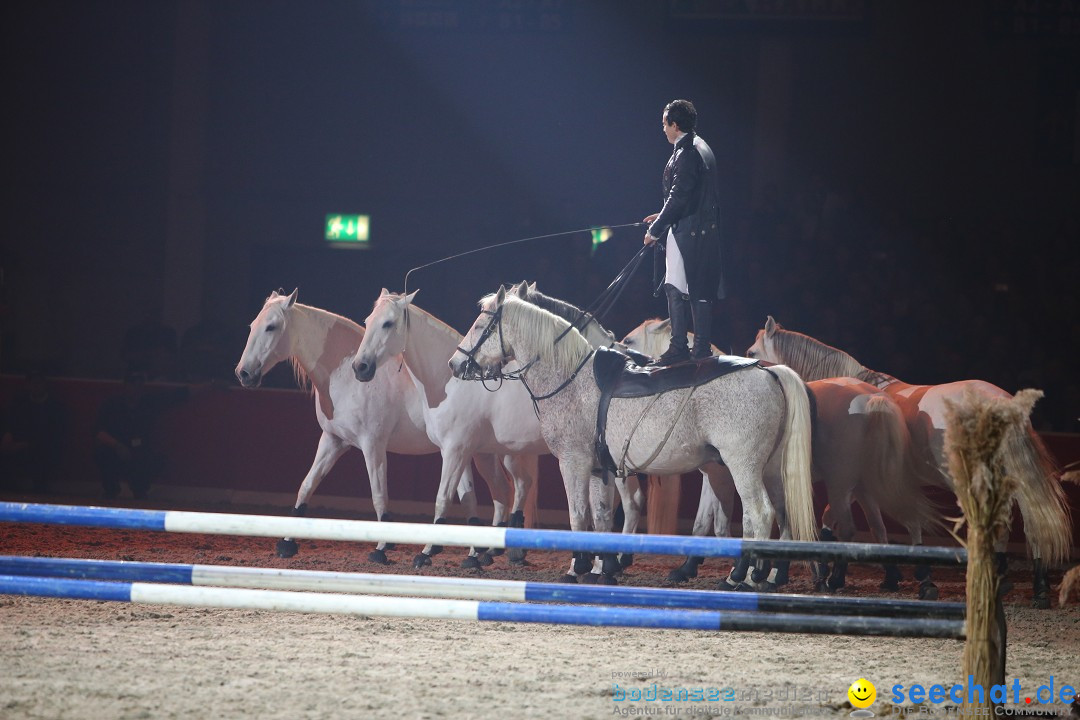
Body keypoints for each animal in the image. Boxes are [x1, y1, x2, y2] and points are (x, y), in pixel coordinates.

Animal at [235, 289, 490, 565]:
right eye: (252, 326)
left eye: (271, 327)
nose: (243, 373)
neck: (345, 377)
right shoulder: (332, 441)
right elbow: (306, 487)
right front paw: (286, 544)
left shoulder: (372, 445)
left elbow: (378, 496)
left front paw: (382, 548)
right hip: (458, 453)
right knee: (469, 498)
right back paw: (473, 556)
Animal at [449, 284, 816, 587]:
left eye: (480, 326)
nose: (454, 364)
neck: (572, 376)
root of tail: (769, 371)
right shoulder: (600, 468)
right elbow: (600, 516)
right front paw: (602, 568)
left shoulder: (573, 462)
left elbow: (578, 515)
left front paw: (577, 568)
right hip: (770, 469)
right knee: (780, 514)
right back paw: (759, 574)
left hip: (742, 466)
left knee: (760, 514)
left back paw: (743, 577)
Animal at [626, 317, 946, 595]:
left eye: (629, 341)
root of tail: (873, 399)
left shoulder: (722, 475)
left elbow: (721, 523)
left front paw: (742, 572)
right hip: (864, 482)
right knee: (889, 522)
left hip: (843, 482)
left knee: (855, 525)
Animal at [751, 315, 1071, 608]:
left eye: (752, 352)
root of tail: (997, 401)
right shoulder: (866, 485)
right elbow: (877, 527)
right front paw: (892, 576)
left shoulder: (856, 483)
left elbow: (843, 521)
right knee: (1030, 525)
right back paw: (1033, 587)